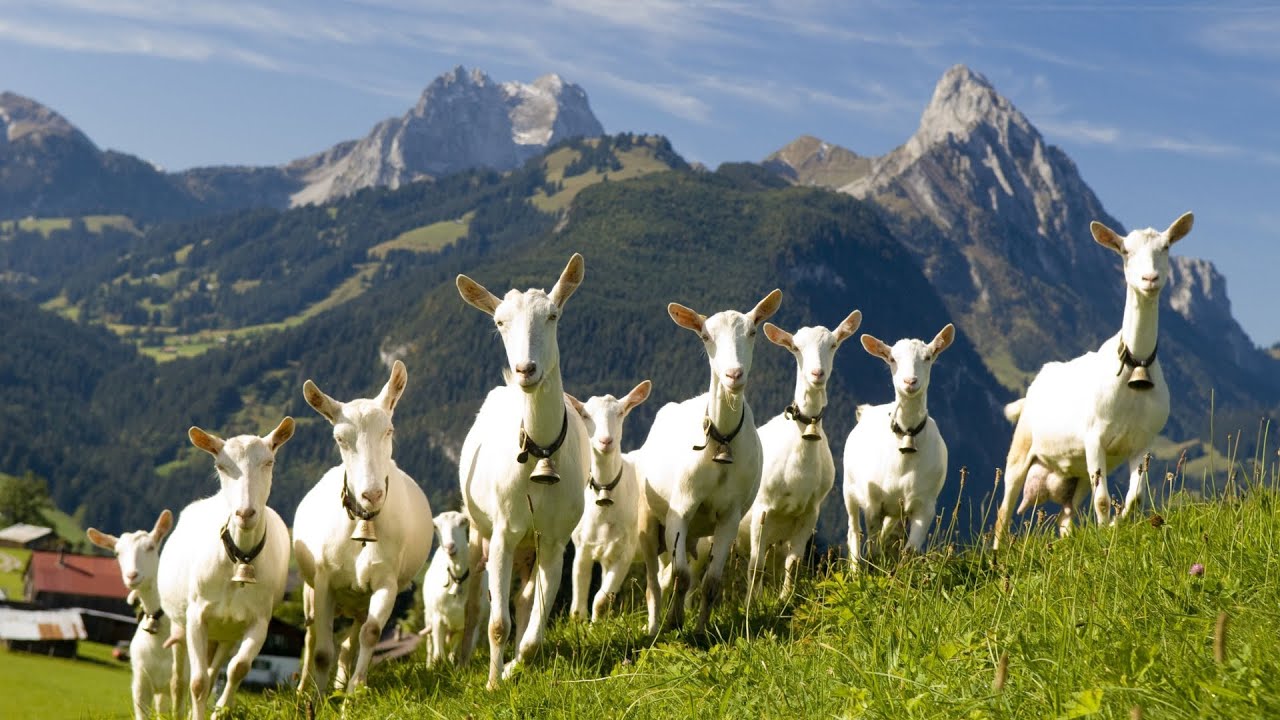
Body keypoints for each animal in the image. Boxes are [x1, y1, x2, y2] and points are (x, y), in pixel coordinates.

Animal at [843, 325, 955, 570]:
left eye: (928, 357)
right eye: (892, 358)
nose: (910, 381)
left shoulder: (925, 505)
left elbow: (910, 550)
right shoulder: (873, 502)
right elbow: (871, 543)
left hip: (896, 509)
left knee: (886, 534)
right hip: (849, 489)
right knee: (853, 532)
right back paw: (855, 569)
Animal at [994, 213, 1194, 547]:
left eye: (1166, 247)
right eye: (1125, 251)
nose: (1149, 279)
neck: (1135, 363)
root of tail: (1031, 393)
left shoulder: (1142, 443)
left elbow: (1135, 498)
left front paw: (1115, 525)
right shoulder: (1094, 438)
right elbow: (1102, 500)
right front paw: (1105, 534)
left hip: (1075, 475)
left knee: (1066, 516)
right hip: (1020, 451)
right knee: (1003, 511)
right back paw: (997, 553)